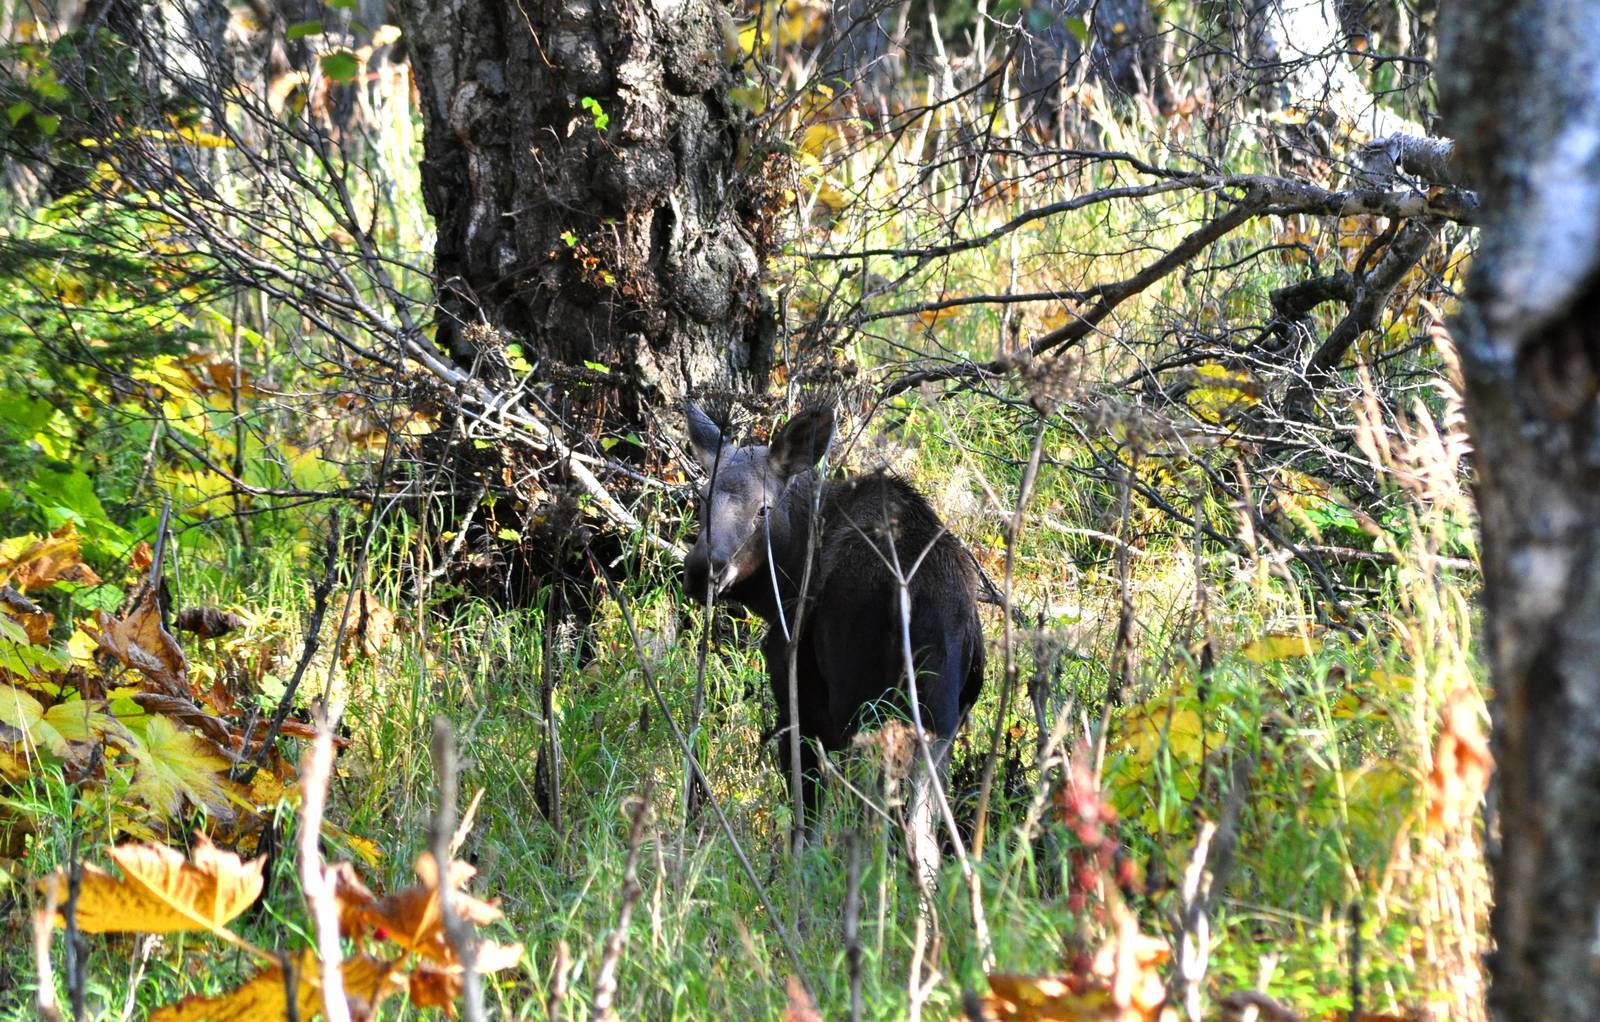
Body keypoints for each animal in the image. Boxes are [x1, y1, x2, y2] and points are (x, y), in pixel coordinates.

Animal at [681, 402, 985, 879]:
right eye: (702, 498)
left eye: (763, 509)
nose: (702, 569)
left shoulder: (798, 692)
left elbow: (805, 813)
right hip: (940, 720)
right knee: (923, 837)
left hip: (862, 704)